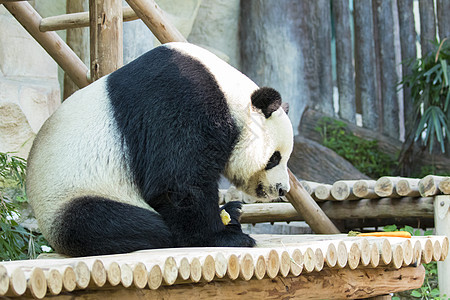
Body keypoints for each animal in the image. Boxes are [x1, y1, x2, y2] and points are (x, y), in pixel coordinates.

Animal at [27, 42, 296, 256]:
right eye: (274, 158)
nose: (281, 189)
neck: (230, 95)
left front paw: (229, 214)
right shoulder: (182, 100)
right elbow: (176, 182)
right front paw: (223, 237)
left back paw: (231, 211)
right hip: (75, 194)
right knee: (112, 224)